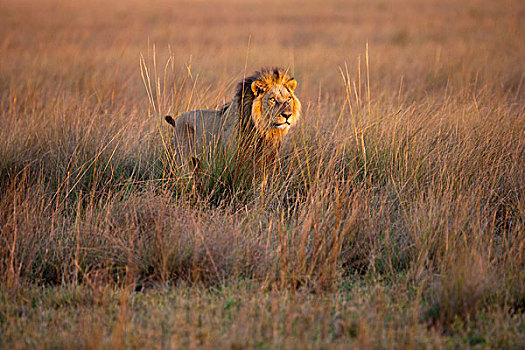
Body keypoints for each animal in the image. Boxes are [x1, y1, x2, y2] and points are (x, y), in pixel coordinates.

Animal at [166, 67, 300, 172]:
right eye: (272, 99)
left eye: (289, 98)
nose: (287, 115)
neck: (264, 131)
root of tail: (178, 120)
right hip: (184, 160)